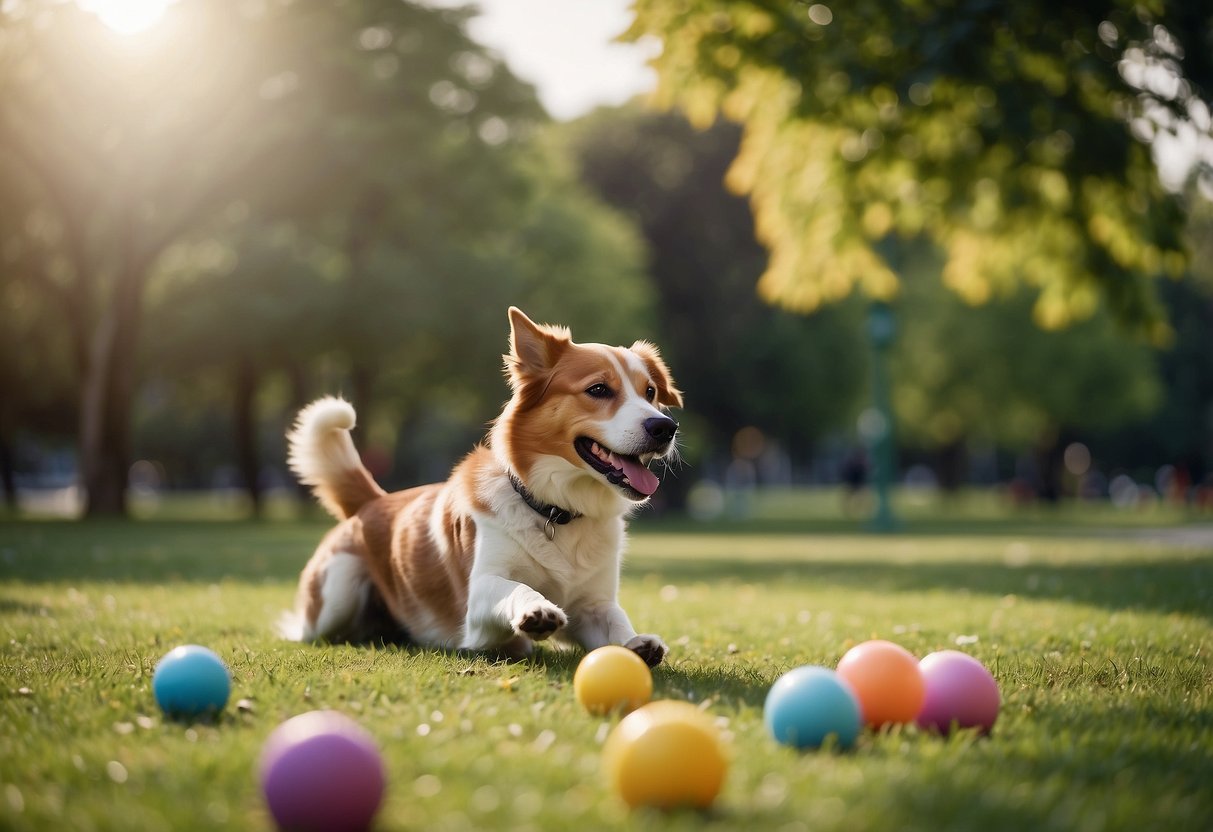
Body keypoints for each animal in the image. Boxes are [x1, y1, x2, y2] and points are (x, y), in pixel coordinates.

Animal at [281, 309, 684, 669]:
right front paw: (535, 610)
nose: (665, 427)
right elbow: (514, 588)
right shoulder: (477, 602)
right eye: (598, 389)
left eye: (649, 392)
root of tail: (373, 501)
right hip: (337, 594)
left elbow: (615, 619)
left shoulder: (592, 605)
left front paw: (637, 643)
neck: (556, 510)